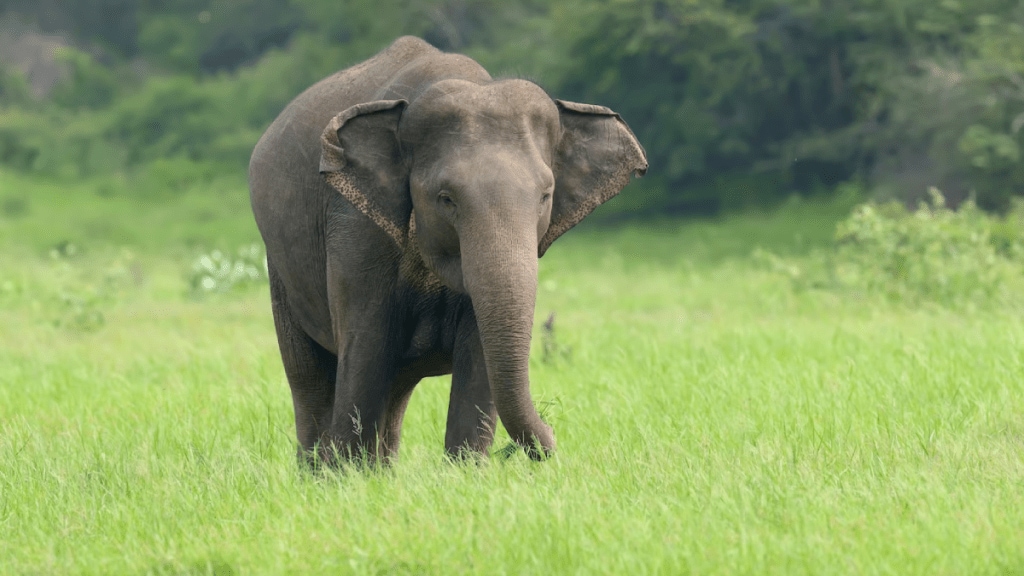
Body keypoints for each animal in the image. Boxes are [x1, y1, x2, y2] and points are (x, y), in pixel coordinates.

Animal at [248, 35, 647, 461]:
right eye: (446, 199)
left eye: (545, 196)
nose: (551, 436)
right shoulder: (356, 229)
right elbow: (365, 350)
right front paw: (345, 470)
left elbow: (478, 359)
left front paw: (466, 468)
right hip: (280, 271)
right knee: (310, 379)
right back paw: (319, 466)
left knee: (395, 390)